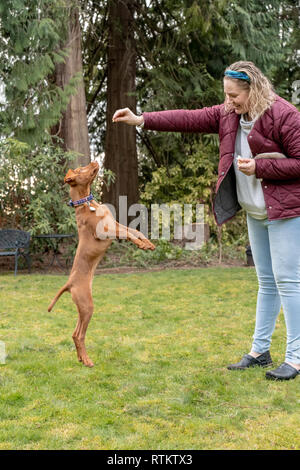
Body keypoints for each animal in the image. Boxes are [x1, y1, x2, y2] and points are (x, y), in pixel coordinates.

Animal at [47, 162, 155, 368]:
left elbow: (134, 232)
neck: (87, 204)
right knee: (79, 335)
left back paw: (81, 358)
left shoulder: (116, 224)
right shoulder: (105, 231)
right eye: (81, 170)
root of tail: (69, 283)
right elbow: (128, 234)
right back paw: (88, 361)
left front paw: (147, 244)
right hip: (87, 306)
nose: (95, 162)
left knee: (74, 333)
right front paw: (142, 245)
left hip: (82, 307)